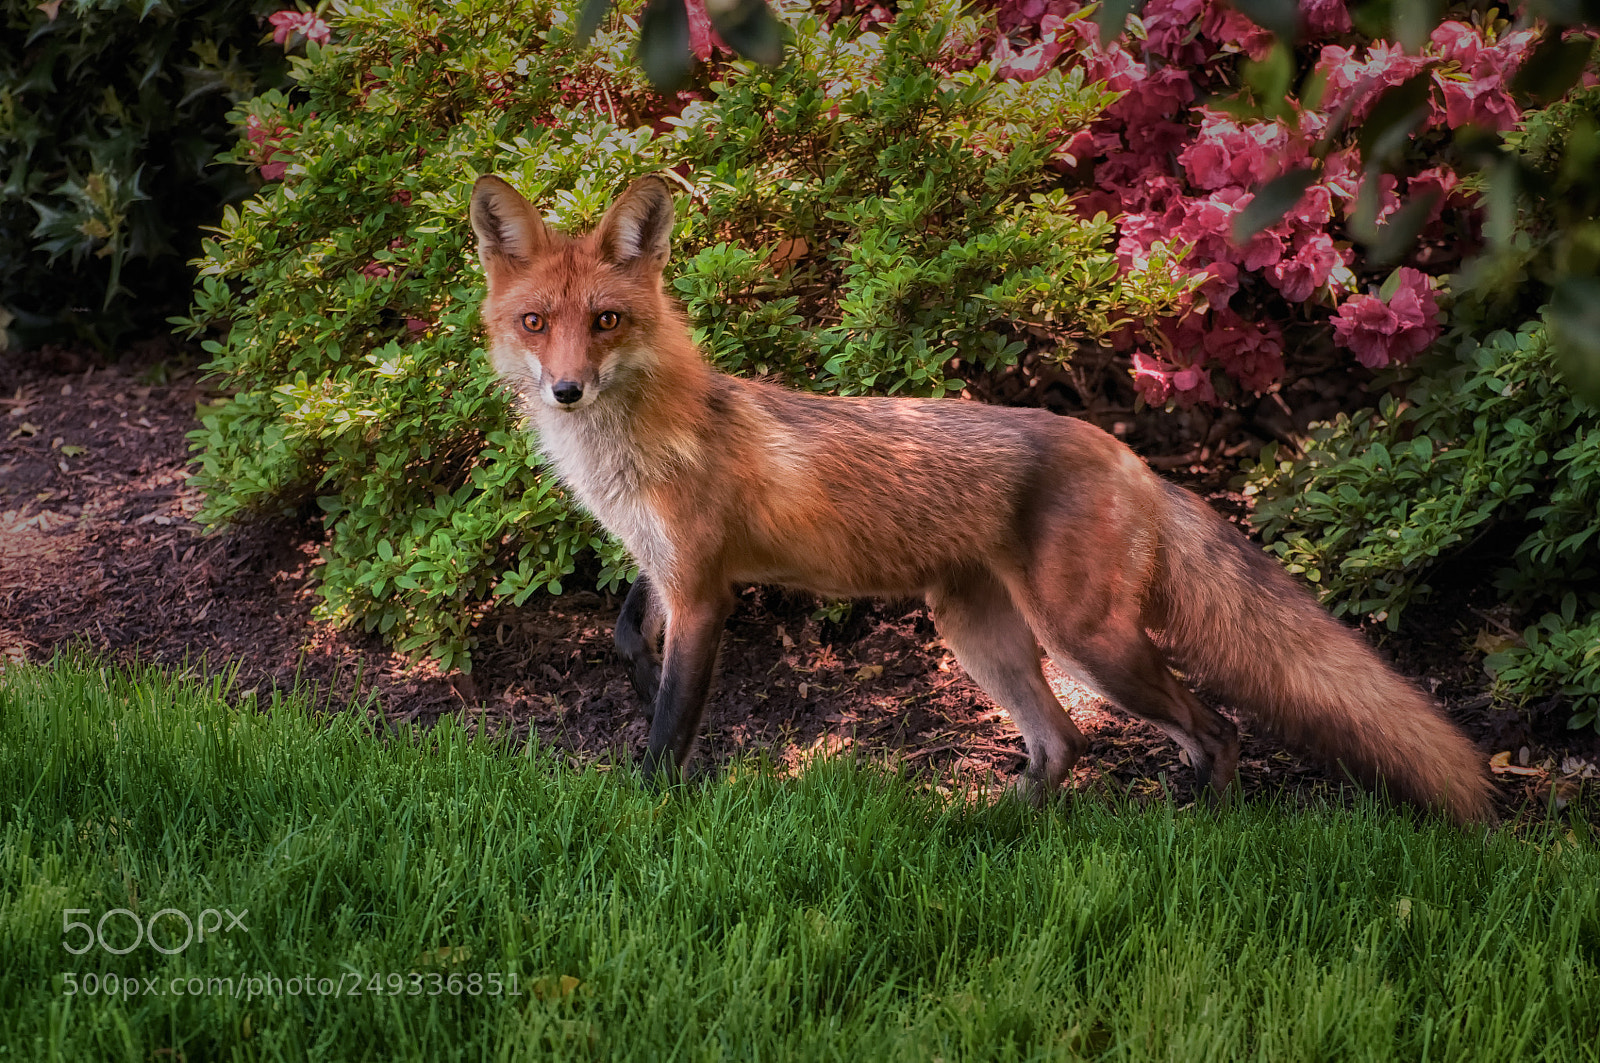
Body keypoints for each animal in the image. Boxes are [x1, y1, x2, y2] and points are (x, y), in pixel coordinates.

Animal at [468, 172, 1496, 825]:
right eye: (536, 322)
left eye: (607, 320)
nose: (566, 390)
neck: (635, 449)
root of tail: (1132, 457)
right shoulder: (663, 569)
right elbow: (624, 639)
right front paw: (640, 688)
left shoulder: (705, 588)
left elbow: (671, 726)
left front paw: (650, 809)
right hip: (983, 632)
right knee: (1065, 744)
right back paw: (987, 825)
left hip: (1091, 643)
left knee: (1216, 728)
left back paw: (1201, 828)